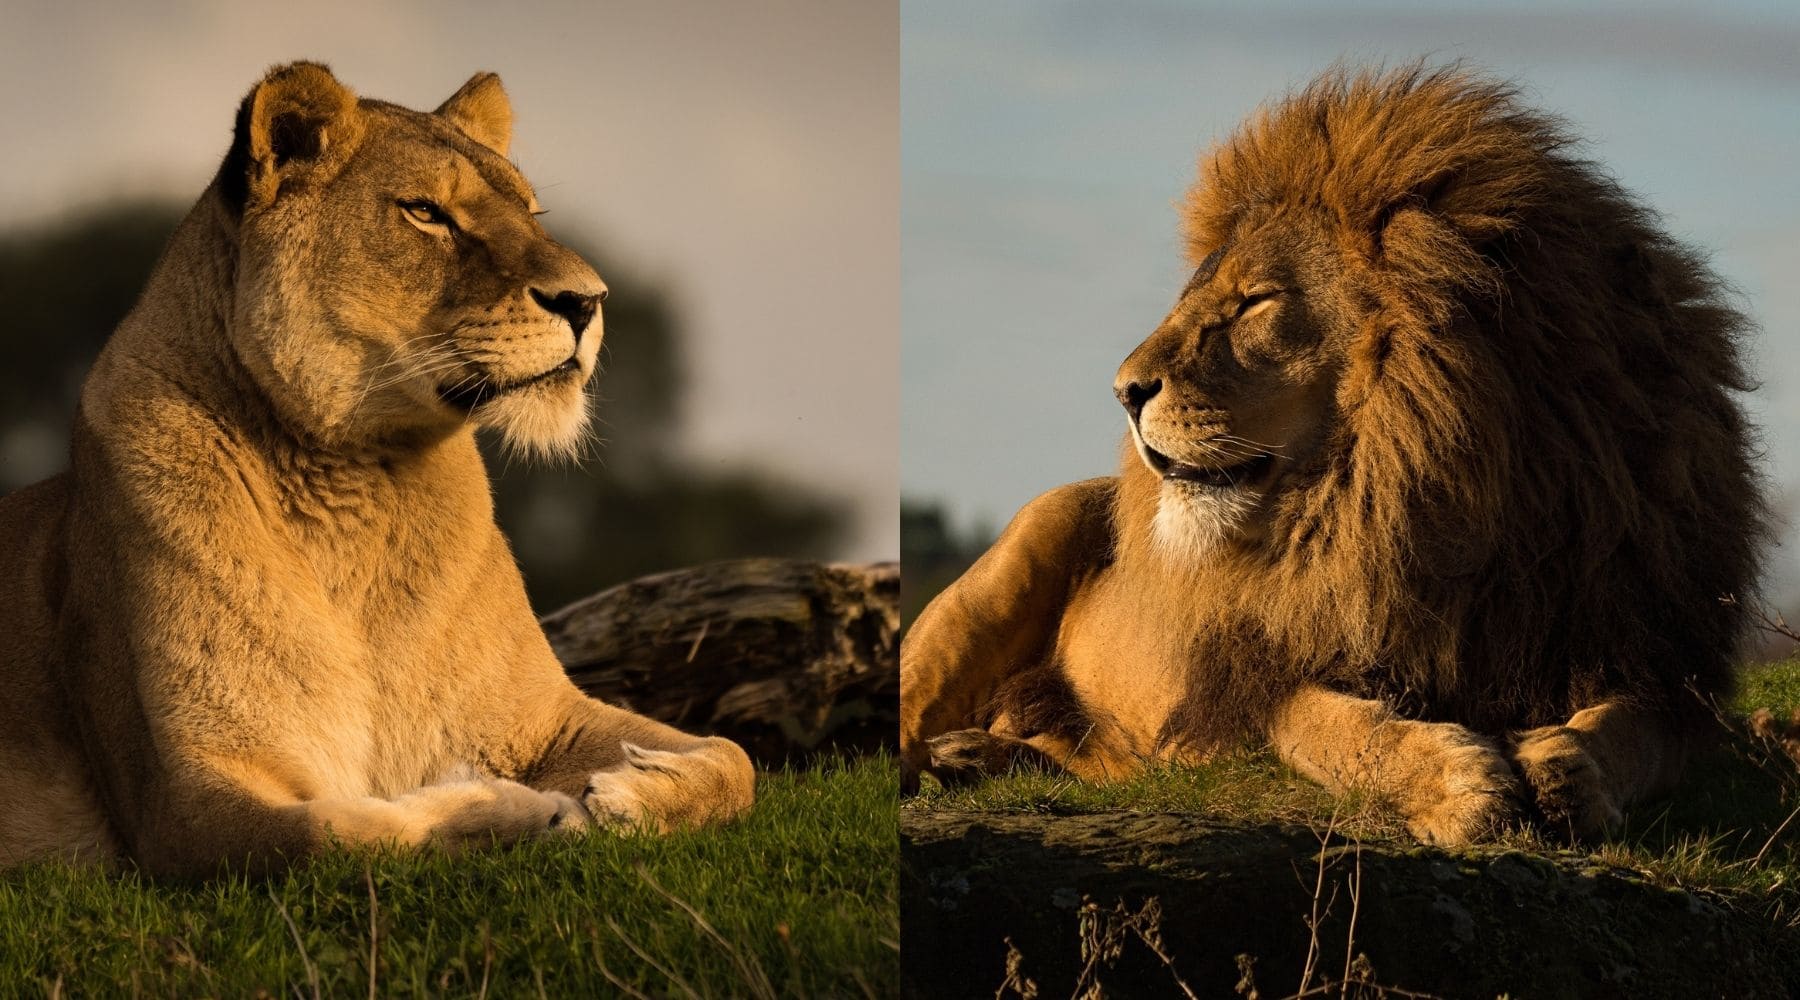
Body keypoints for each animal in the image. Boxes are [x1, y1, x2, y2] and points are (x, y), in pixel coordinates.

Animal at [0, 63, 754, 875]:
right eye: (426, 213)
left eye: (531, 210)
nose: (589, 301)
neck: (359, 477)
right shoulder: (180, 805)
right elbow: (343, 833)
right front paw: (515, 808)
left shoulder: (544, 718)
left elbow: (737, 760)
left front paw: (635, 791)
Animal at [899, 65, 1766, 845]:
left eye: (1253, 302)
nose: (1124, 390)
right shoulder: (1255, 681)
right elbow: (1331, 724)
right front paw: (1455, 783)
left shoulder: (1658, 659)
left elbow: (1639, 733)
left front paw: (1568, 771)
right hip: (1007, 567)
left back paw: (981, 756)